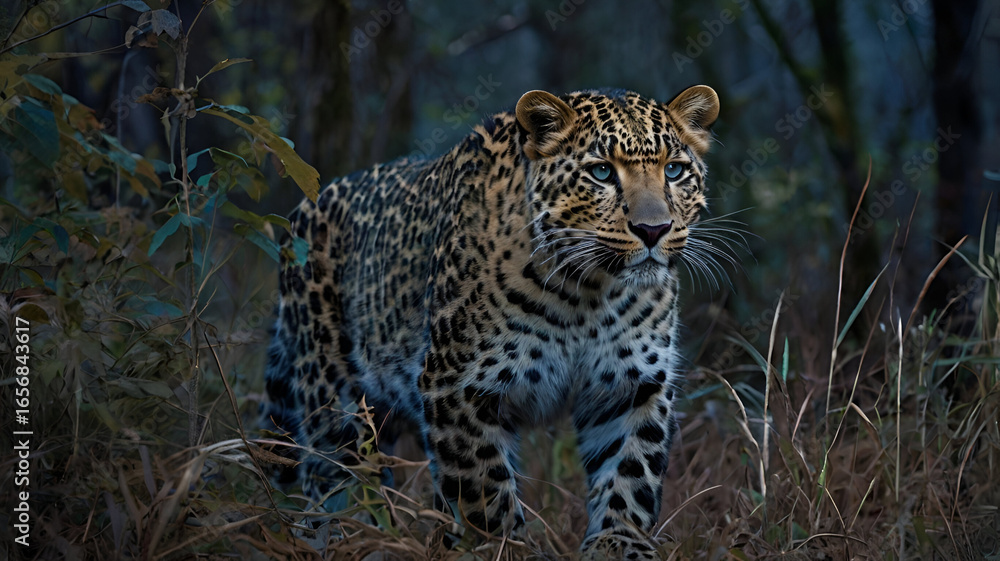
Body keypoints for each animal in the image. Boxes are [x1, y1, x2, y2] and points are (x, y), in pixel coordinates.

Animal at [261, 85, 721, 559]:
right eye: (601, 172)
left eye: (674, 171)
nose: (654, 230)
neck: (588, 294)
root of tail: (305, 206)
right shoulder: (458, 387)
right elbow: (482, 486)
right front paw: (502, 547)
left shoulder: (631, 386)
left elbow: (631, 472)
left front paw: (619, 544)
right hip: (330, 390)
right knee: (332, 470)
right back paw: (349, 533)